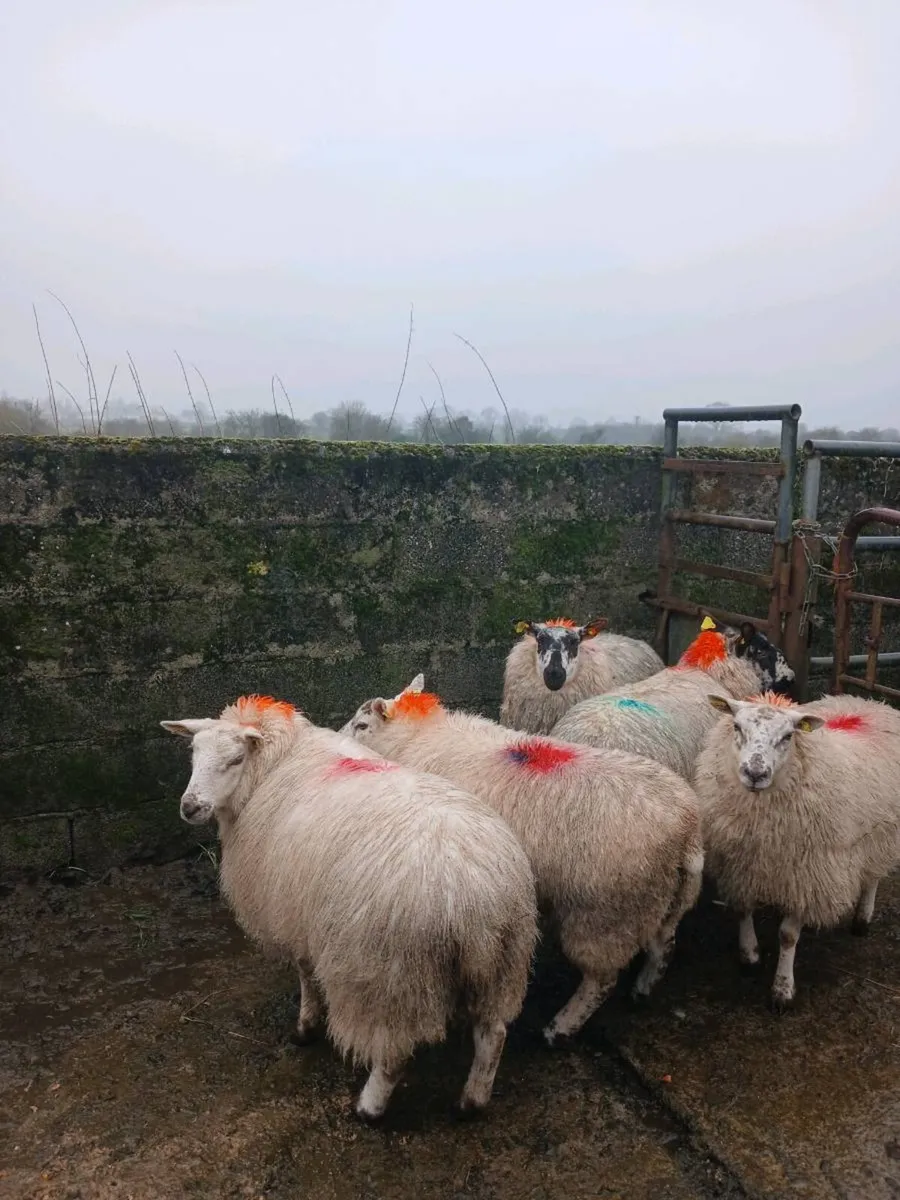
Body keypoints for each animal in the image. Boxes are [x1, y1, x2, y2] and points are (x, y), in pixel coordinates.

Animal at [160, 694, 537, 1122]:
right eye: (193, 753)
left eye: (236, 759)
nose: (190, 807)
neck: (276, 762)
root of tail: (476, 894)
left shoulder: (294, 913)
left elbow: (306, 973)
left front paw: (305, 1027)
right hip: (502, 963)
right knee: (493, 1034)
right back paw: (471, 1102)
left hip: (390, 975)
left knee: (394, 1053)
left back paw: (369, 1108)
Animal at [341, 676, 704, 1047]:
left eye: (361, 725)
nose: (340, 737)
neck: (416, 737)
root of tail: (687, 830)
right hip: (662, 897)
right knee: (663, 943)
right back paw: (642, 990)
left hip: (609, 914)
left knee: (602, 978)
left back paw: (561, 1027)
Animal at [694, 690, 900, 1011]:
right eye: (737, 727)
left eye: (788, 736)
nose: (755, 773)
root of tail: (869, 702)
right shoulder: (739, 864)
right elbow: (742, 909)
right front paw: (749, 955)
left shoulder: (805, 876)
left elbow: (788, 936)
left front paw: (782, 989)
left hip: (880, 837)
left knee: (872, 878)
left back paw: (862, 919)